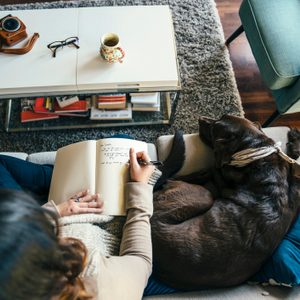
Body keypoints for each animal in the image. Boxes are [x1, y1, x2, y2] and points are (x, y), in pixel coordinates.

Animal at [152, 115, 300, 288]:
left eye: (214, 127)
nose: (200, 118)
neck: (259, 155)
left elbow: (213, 169)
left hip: (204, 195)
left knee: (174, 179)